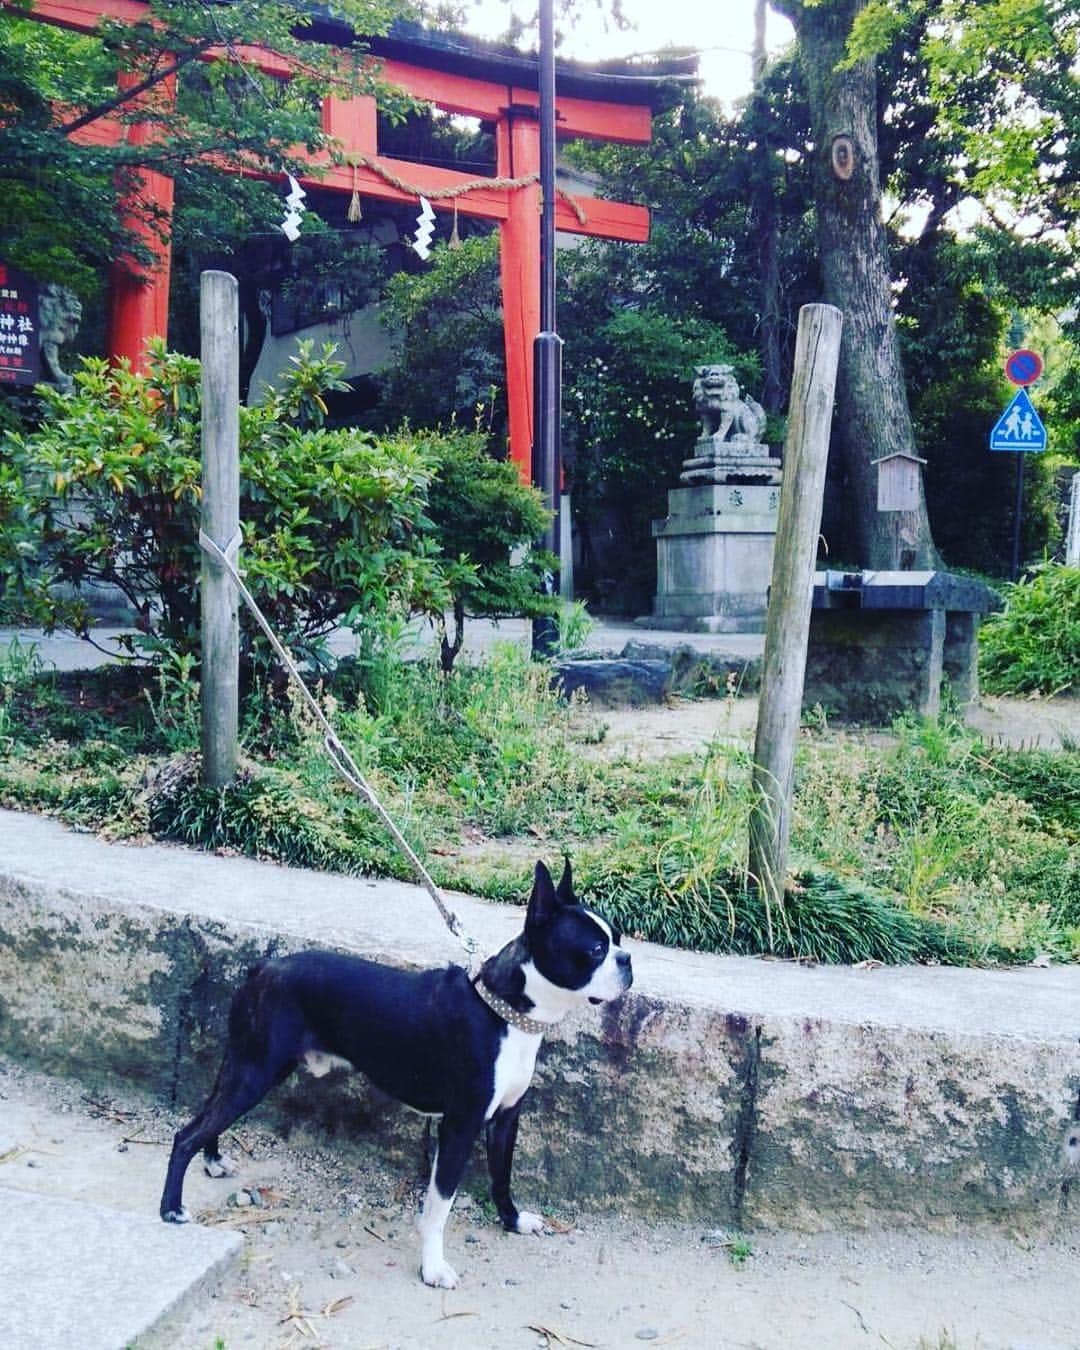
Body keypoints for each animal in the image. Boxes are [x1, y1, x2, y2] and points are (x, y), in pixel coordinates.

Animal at [161, 858, 631, 1290]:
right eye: (595, 950)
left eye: (619, 939)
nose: (627, 960)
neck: (506, 1012)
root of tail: (262, 968)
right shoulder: (460, 1126)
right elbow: (439, 1206)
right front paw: (433, 1267)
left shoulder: (505, 1119)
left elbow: (501, 1176)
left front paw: (512, 1221)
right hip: (256, 1072)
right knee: (187, 1133)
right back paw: (170, 1209)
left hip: (244, 1065)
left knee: (209, 1115)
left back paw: (213, 1159)